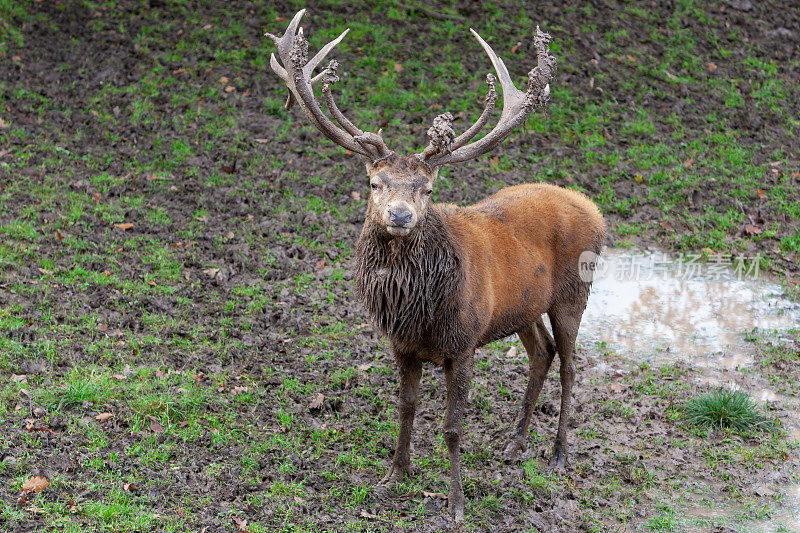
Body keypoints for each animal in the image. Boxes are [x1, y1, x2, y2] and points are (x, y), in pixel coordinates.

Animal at [266, 10, 604, 520]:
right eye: (375, 183)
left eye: (427, 189)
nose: (400, 215)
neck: (418, 311)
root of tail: (595, 210)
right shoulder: (403, 346)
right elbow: (406, 408)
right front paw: (395, 475)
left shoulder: (462, 344)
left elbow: (451, 427)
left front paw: (456, 502)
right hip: (521, 306)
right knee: (541, 352)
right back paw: (515, 442)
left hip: (574, 293)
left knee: (570, 365)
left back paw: (559, 453)